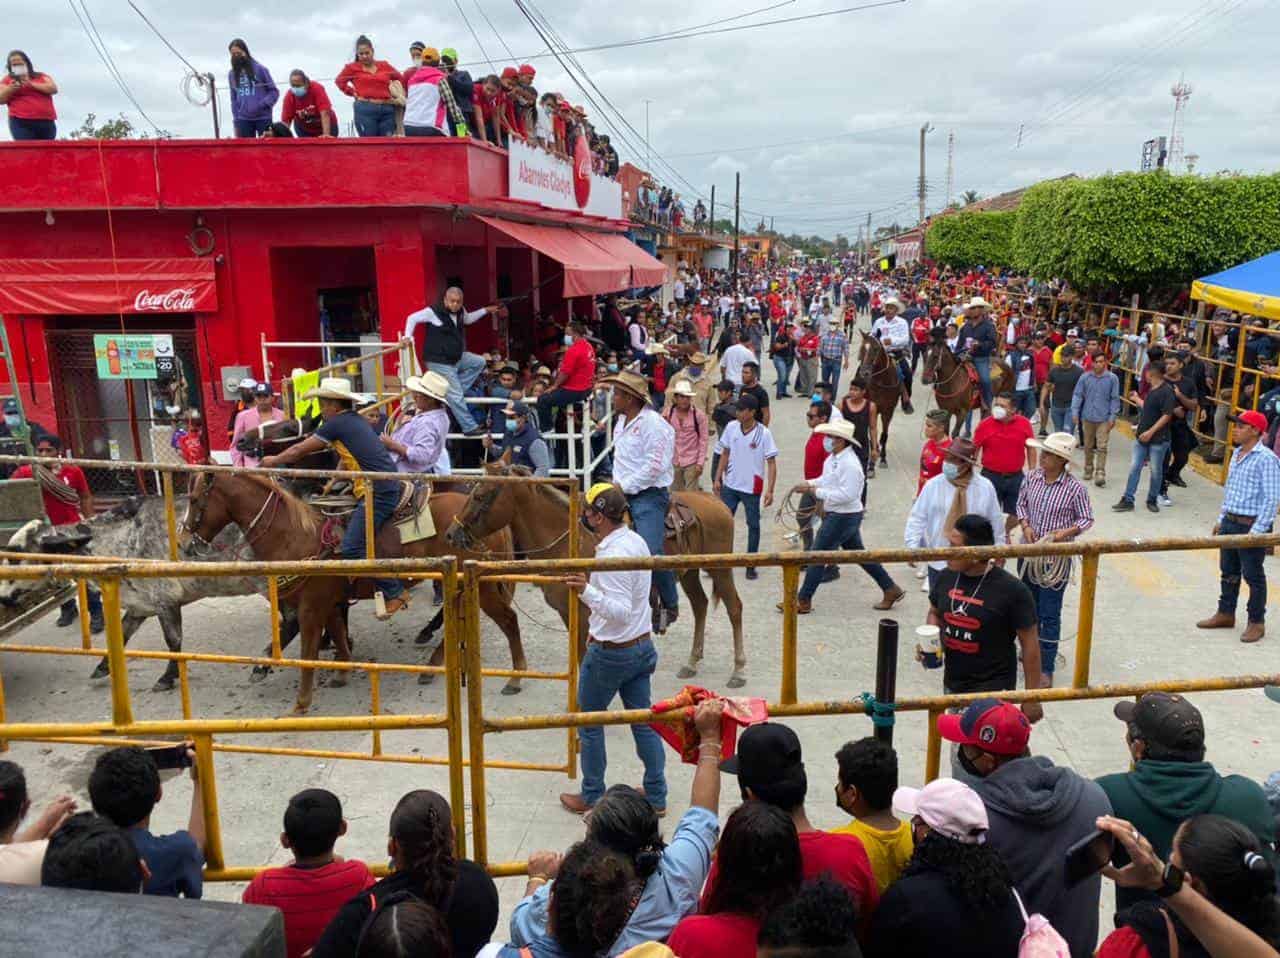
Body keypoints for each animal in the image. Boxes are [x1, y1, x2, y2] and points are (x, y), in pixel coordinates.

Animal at [177, 471, 527, 712]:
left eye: (194, 500)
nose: (184, 543)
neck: (296, 535)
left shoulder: (309, 608)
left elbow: (308, 650)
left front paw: (301, 701)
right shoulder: (329, 603)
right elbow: (337, 633)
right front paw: (341, 671)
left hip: (484, 588)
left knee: (508, 620)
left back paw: (516, 675)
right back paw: (432, 665)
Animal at [450, 463, 747, 686]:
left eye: (479, 496)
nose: (452, 534)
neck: (570, 540)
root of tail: (716, 502)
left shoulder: (585, 613)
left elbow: (584, 656)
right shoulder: (567, 611)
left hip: (720, 569)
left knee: (734, 608)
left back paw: (738, 670)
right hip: (690, 572)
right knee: (700, 605)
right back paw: (692, 662)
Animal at [855, 330, 906, 468]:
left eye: (876, 349)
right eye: (862, 348)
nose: (865, 373)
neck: (882, 381)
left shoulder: (888, 411)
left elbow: (884, 435)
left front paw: (883, 458)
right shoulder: (873, 408)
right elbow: (872, 433)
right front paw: (872, 461)